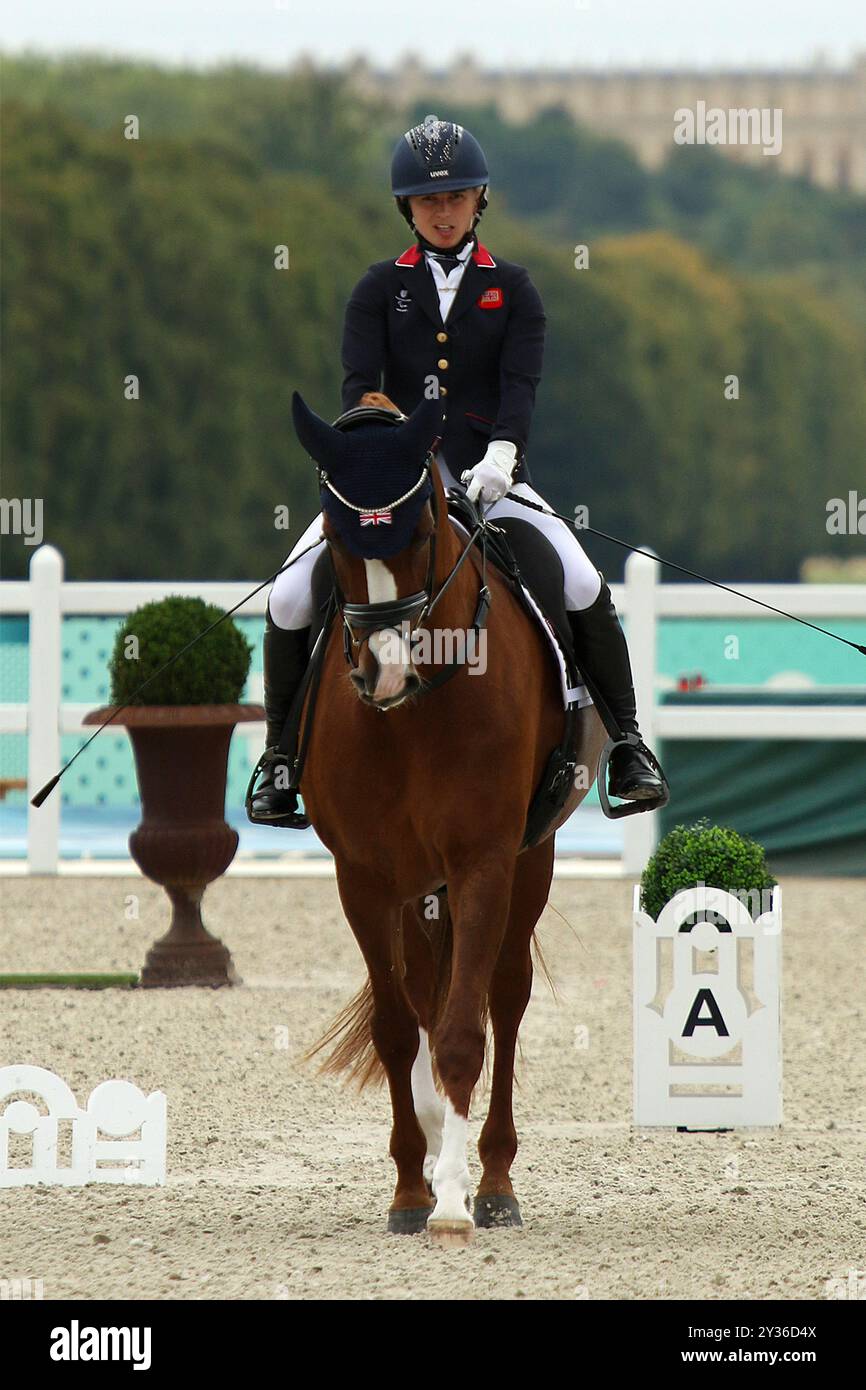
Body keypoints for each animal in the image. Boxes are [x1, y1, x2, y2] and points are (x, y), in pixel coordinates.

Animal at [287, 386, 606, 1245]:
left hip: (529, 861)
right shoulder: (363, 876)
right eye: (334, 535)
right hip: (416, 886)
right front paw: (410, 1189)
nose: (386, 671)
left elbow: (467, 1030)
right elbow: (398, 1029)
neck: (415, 712)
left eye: (424, 531)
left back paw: (493, 1178)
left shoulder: (483, 860)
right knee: (427, 992)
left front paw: (458, 1203)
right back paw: (434, 1151)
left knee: (505, 996)